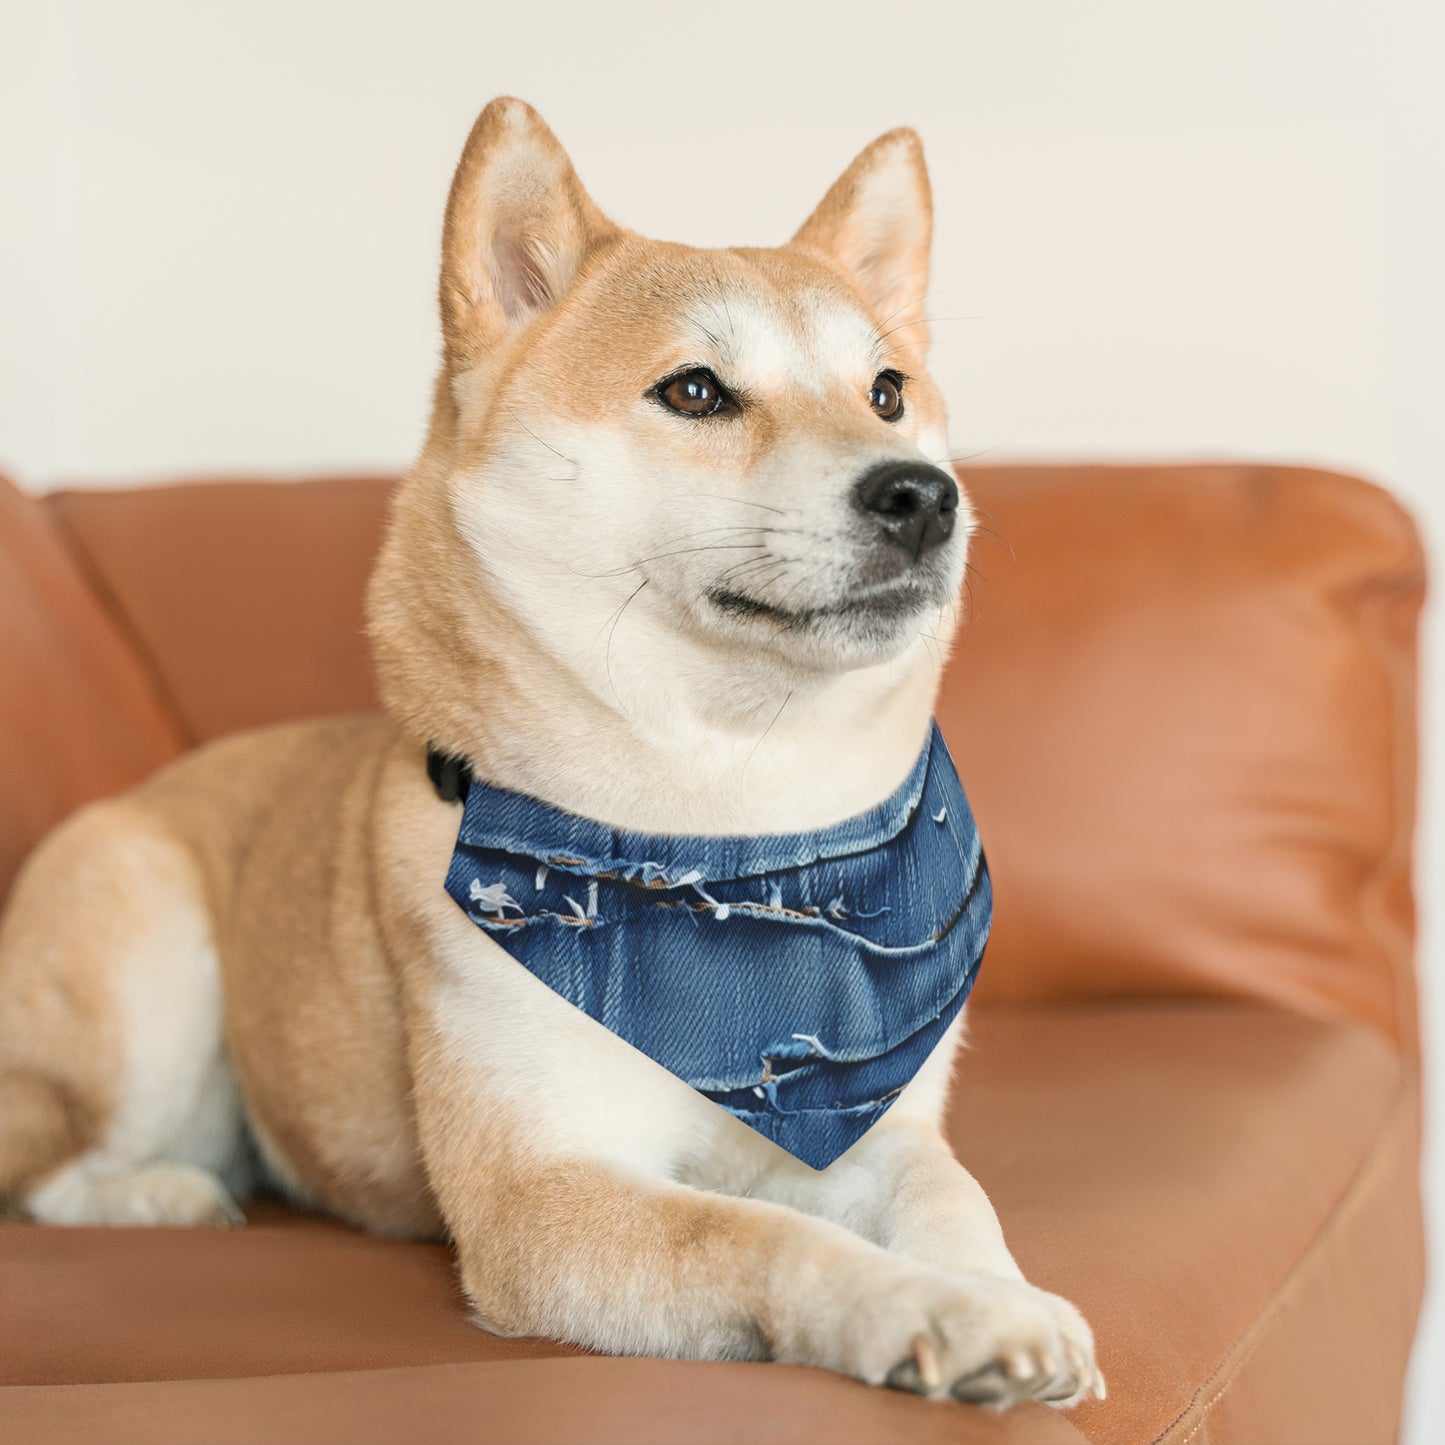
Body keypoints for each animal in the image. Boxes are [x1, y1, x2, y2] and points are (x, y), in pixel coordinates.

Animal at [0, 96, 1098, 1404]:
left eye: (886, 390)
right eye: (694, 390)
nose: (923, 494)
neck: (735, 829)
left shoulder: (874, 1120)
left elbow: (950, 1195)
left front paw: (1003, 1293)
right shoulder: (540, 1193)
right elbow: (765, 1235)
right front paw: (930, 1308)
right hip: (146, 965)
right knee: (48, 1166)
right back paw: (162, 1192)